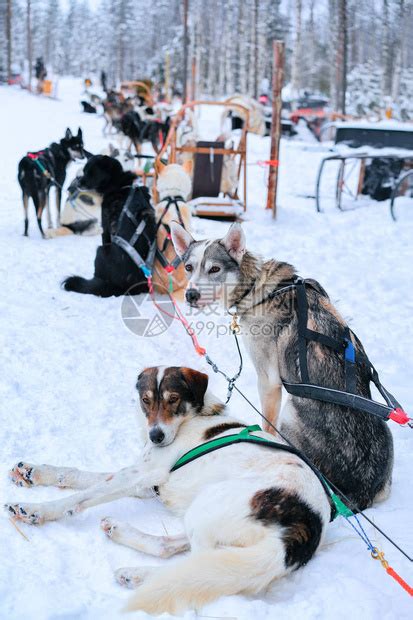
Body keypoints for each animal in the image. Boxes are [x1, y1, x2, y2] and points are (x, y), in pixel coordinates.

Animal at [4, 368, 330, 616]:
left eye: (173, 400)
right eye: (146, 401)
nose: (156, 436)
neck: (190, 419)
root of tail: (306, 526)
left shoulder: (142, 474)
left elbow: (81, 496)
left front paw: (38, 510)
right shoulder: (144, 482)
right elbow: (79, 476)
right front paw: (35, 472)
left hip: (210, 504)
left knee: (199, 564)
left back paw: (142, 575)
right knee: (174, 549)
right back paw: (128, 552)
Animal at [62, 156, 156, 300]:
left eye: (90, 173)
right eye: (85, 171)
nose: (77, 183)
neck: (119, 185)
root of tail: (123, 288)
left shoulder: (105, 229)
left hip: (100, 251)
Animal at [170, 220, 392, 512]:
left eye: (214, 269)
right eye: (188, 267)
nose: (191, 295)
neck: (256, 288)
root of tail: (360, 493)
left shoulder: (268, 380)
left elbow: (267, 424)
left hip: (291, 411)